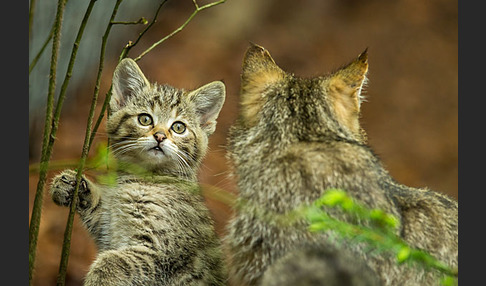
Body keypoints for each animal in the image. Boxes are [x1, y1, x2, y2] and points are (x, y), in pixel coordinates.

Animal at [50, 58, 229, 286]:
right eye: (145, 119)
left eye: (179, 127)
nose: (160, 136)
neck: (142, 178)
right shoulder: (110, 227)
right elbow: (100, 211)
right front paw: (71, 185)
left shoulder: (162, 252)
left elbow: (111, 262)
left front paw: (99, 278)